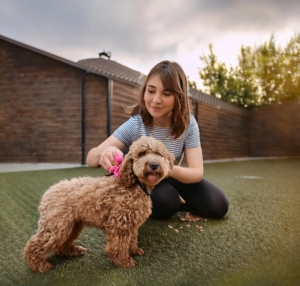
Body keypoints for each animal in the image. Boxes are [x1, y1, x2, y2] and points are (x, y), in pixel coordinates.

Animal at [24, 137, 175, 272]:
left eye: (159, 154)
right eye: (142, 154)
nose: (154, 164)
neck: (135, 186)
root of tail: (49, 192)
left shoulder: (131, 224)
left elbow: (131, 240)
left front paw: (133, 250)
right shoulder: (119, 224)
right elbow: (119, 246)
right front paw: (124, 261)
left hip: (72, 224)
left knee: (61, 246)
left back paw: (73, 251)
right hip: (57, 225)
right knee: (34, 245)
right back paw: (39, 265)